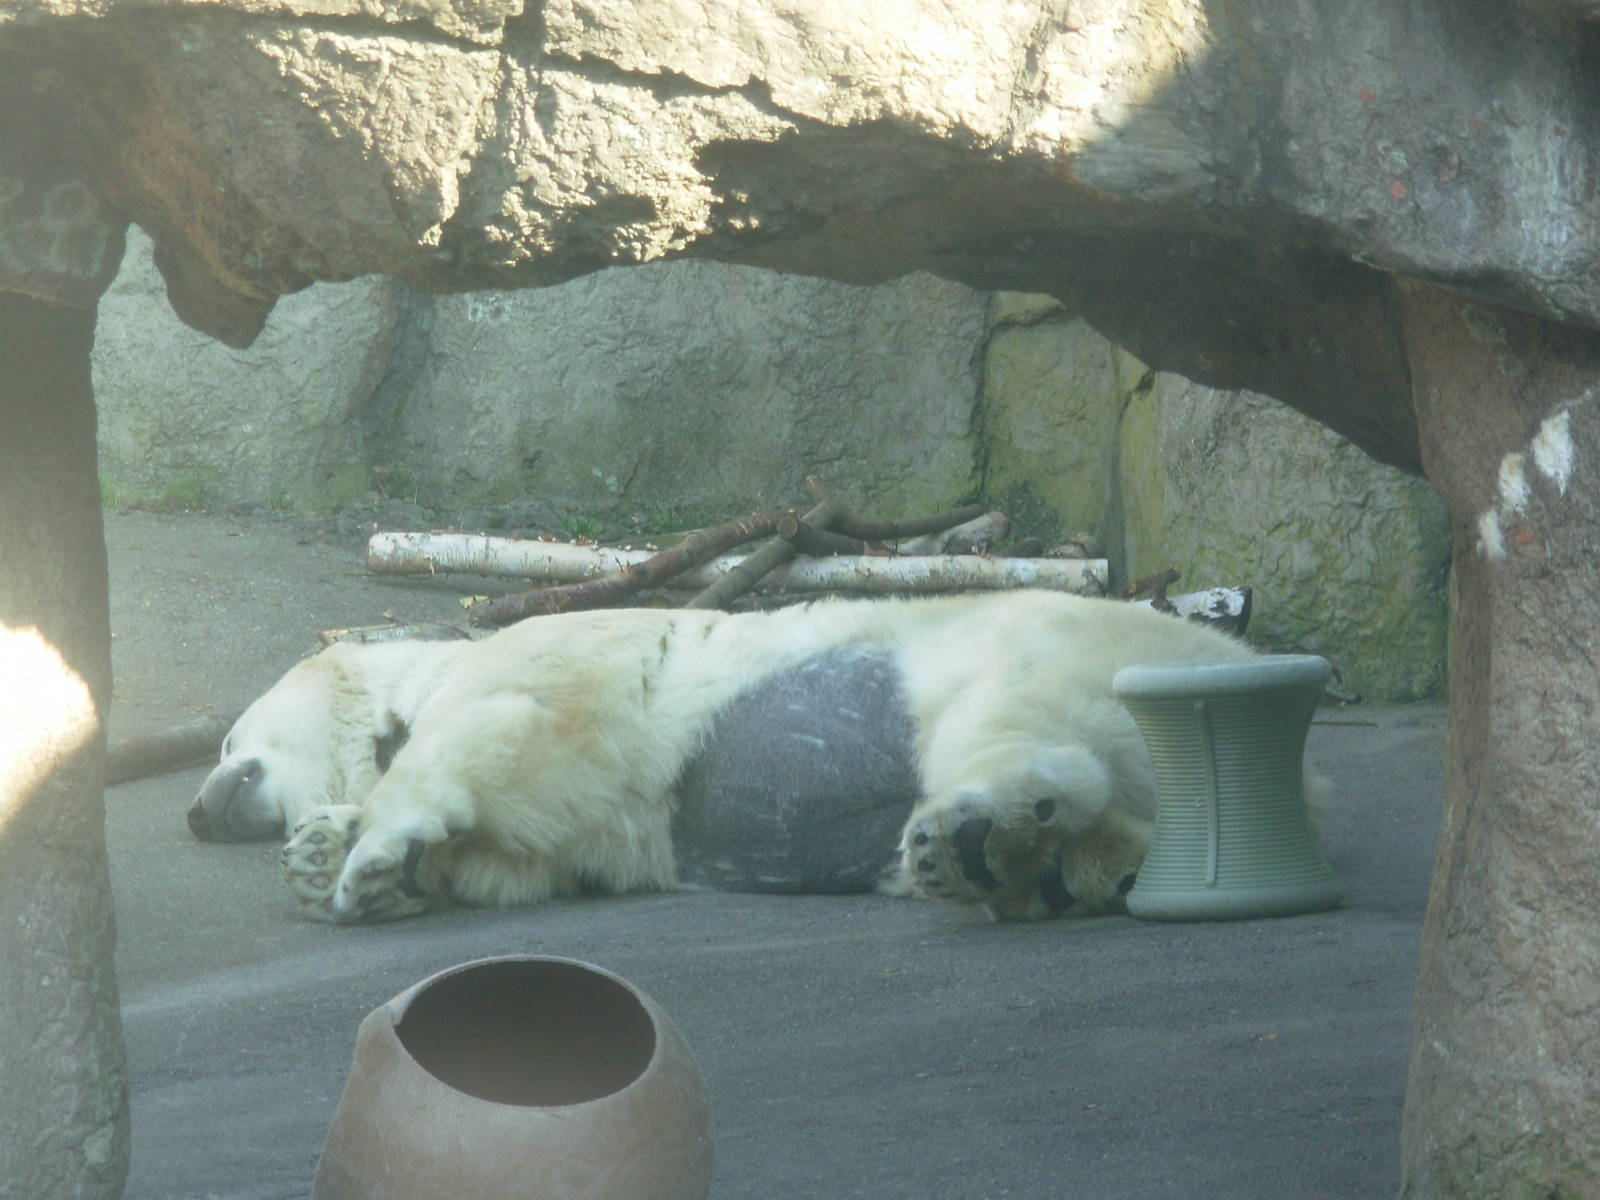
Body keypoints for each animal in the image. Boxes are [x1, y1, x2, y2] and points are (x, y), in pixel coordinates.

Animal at [188, 590, 1270, 923]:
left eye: (232, 739)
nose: (195, 810)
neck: (423, 673)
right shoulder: (590, 823)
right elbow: (529, 853)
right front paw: (337, 855)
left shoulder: (561, 657)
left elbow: (513, 737)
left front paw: (370, 855)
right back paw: (1057, 867)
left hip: (1041, 645)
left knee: (1007, 724)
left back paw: (977, 840)